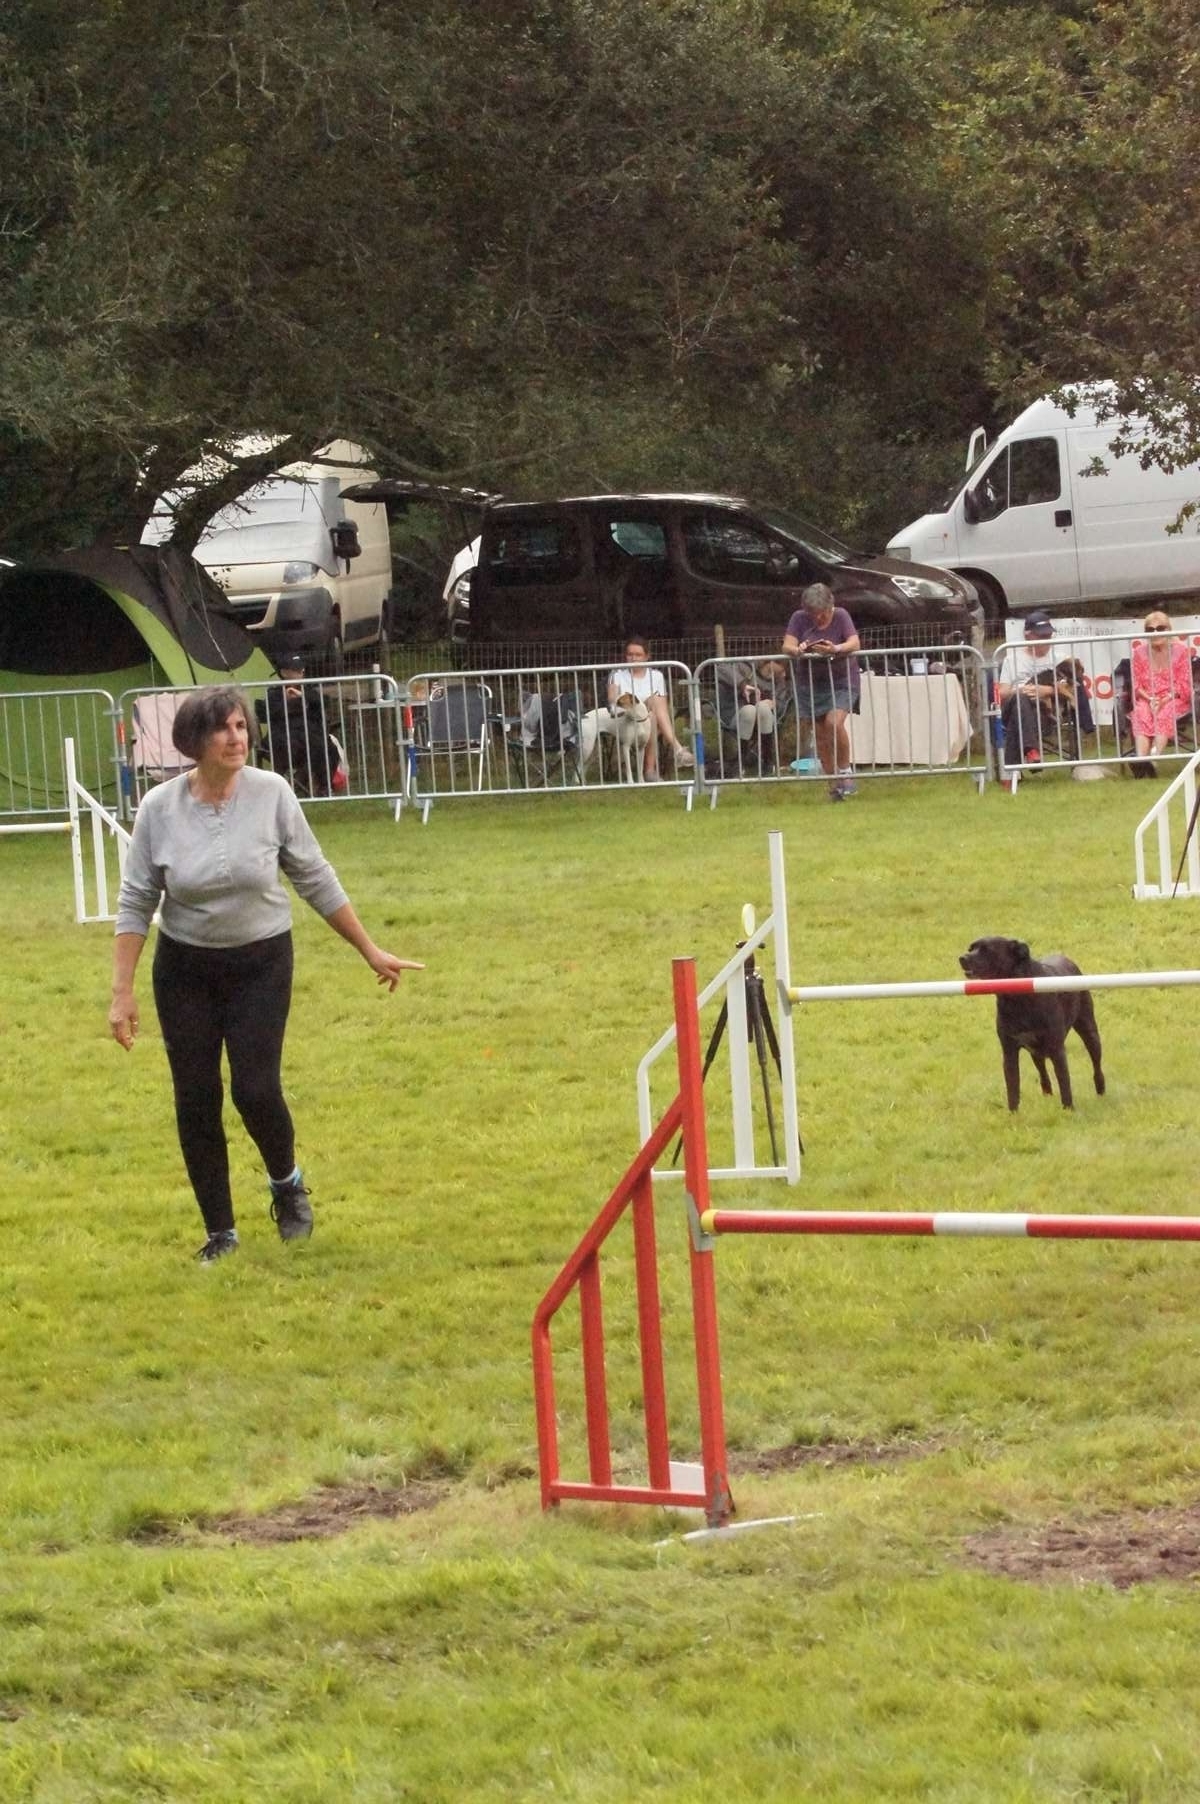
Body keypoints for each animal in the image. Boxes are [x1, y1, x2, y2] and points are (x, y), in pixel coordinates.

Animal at [952, 938, 1104, 1104]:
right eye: (971, 948)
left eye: (987, 950)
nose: (962, 958)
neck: (1017, 999)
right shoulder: (1009, 1051)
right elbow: (1012, 1090)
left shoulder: (1057, 1049)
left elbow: (1065, 1086)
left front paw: (1068, 1109)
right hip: (1036, 1052)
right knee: (1043, 1074)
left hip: (1089, 1031)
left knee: (1096, 1063)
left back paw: (1101, 1090)